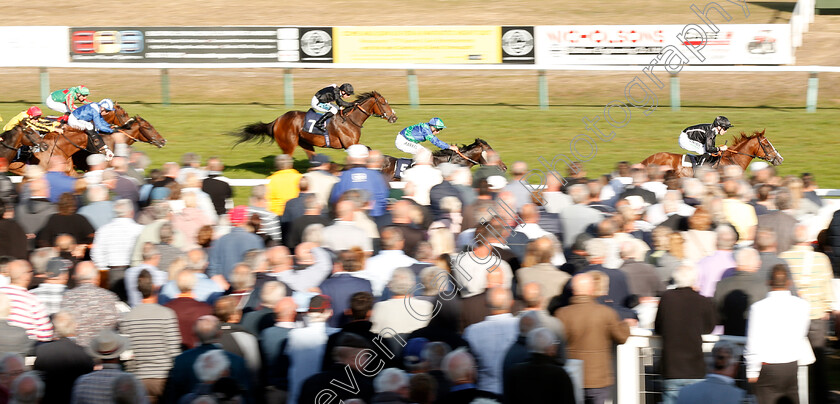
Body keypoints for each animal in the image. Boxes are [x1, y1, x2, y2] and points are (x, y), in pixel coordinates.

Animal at [231, 91, 398, 159]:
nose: (394, 117)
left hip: (306, 143)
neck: (351, 120)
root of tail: (277, 120)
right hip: (288, 145)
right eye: (383, 103)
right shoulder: (349, 144)